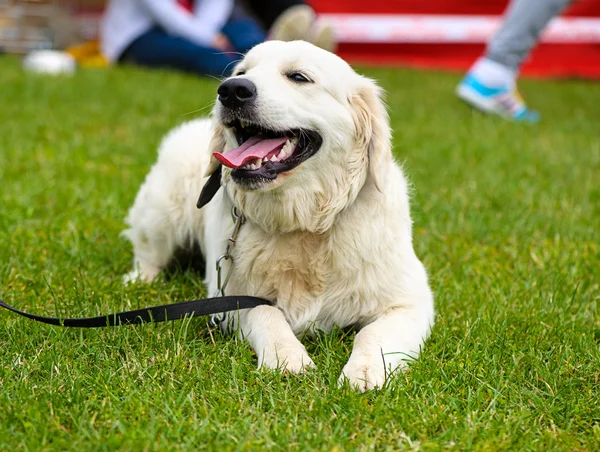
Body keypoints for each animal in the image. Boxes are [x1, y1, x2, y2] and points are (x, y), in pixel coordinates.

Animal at [123, 40, 432, 390]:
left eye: (298, 77)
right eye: (241, 72)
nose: (231, 90)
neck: (304, 224)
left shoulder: (410, 301)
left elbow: (372, 333)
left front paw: (365, 372)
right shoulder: (232, 296)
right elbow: (267, 315)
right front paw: (287, 358)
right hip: (162, 214)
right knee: (148, 255)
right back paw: (138, 281)